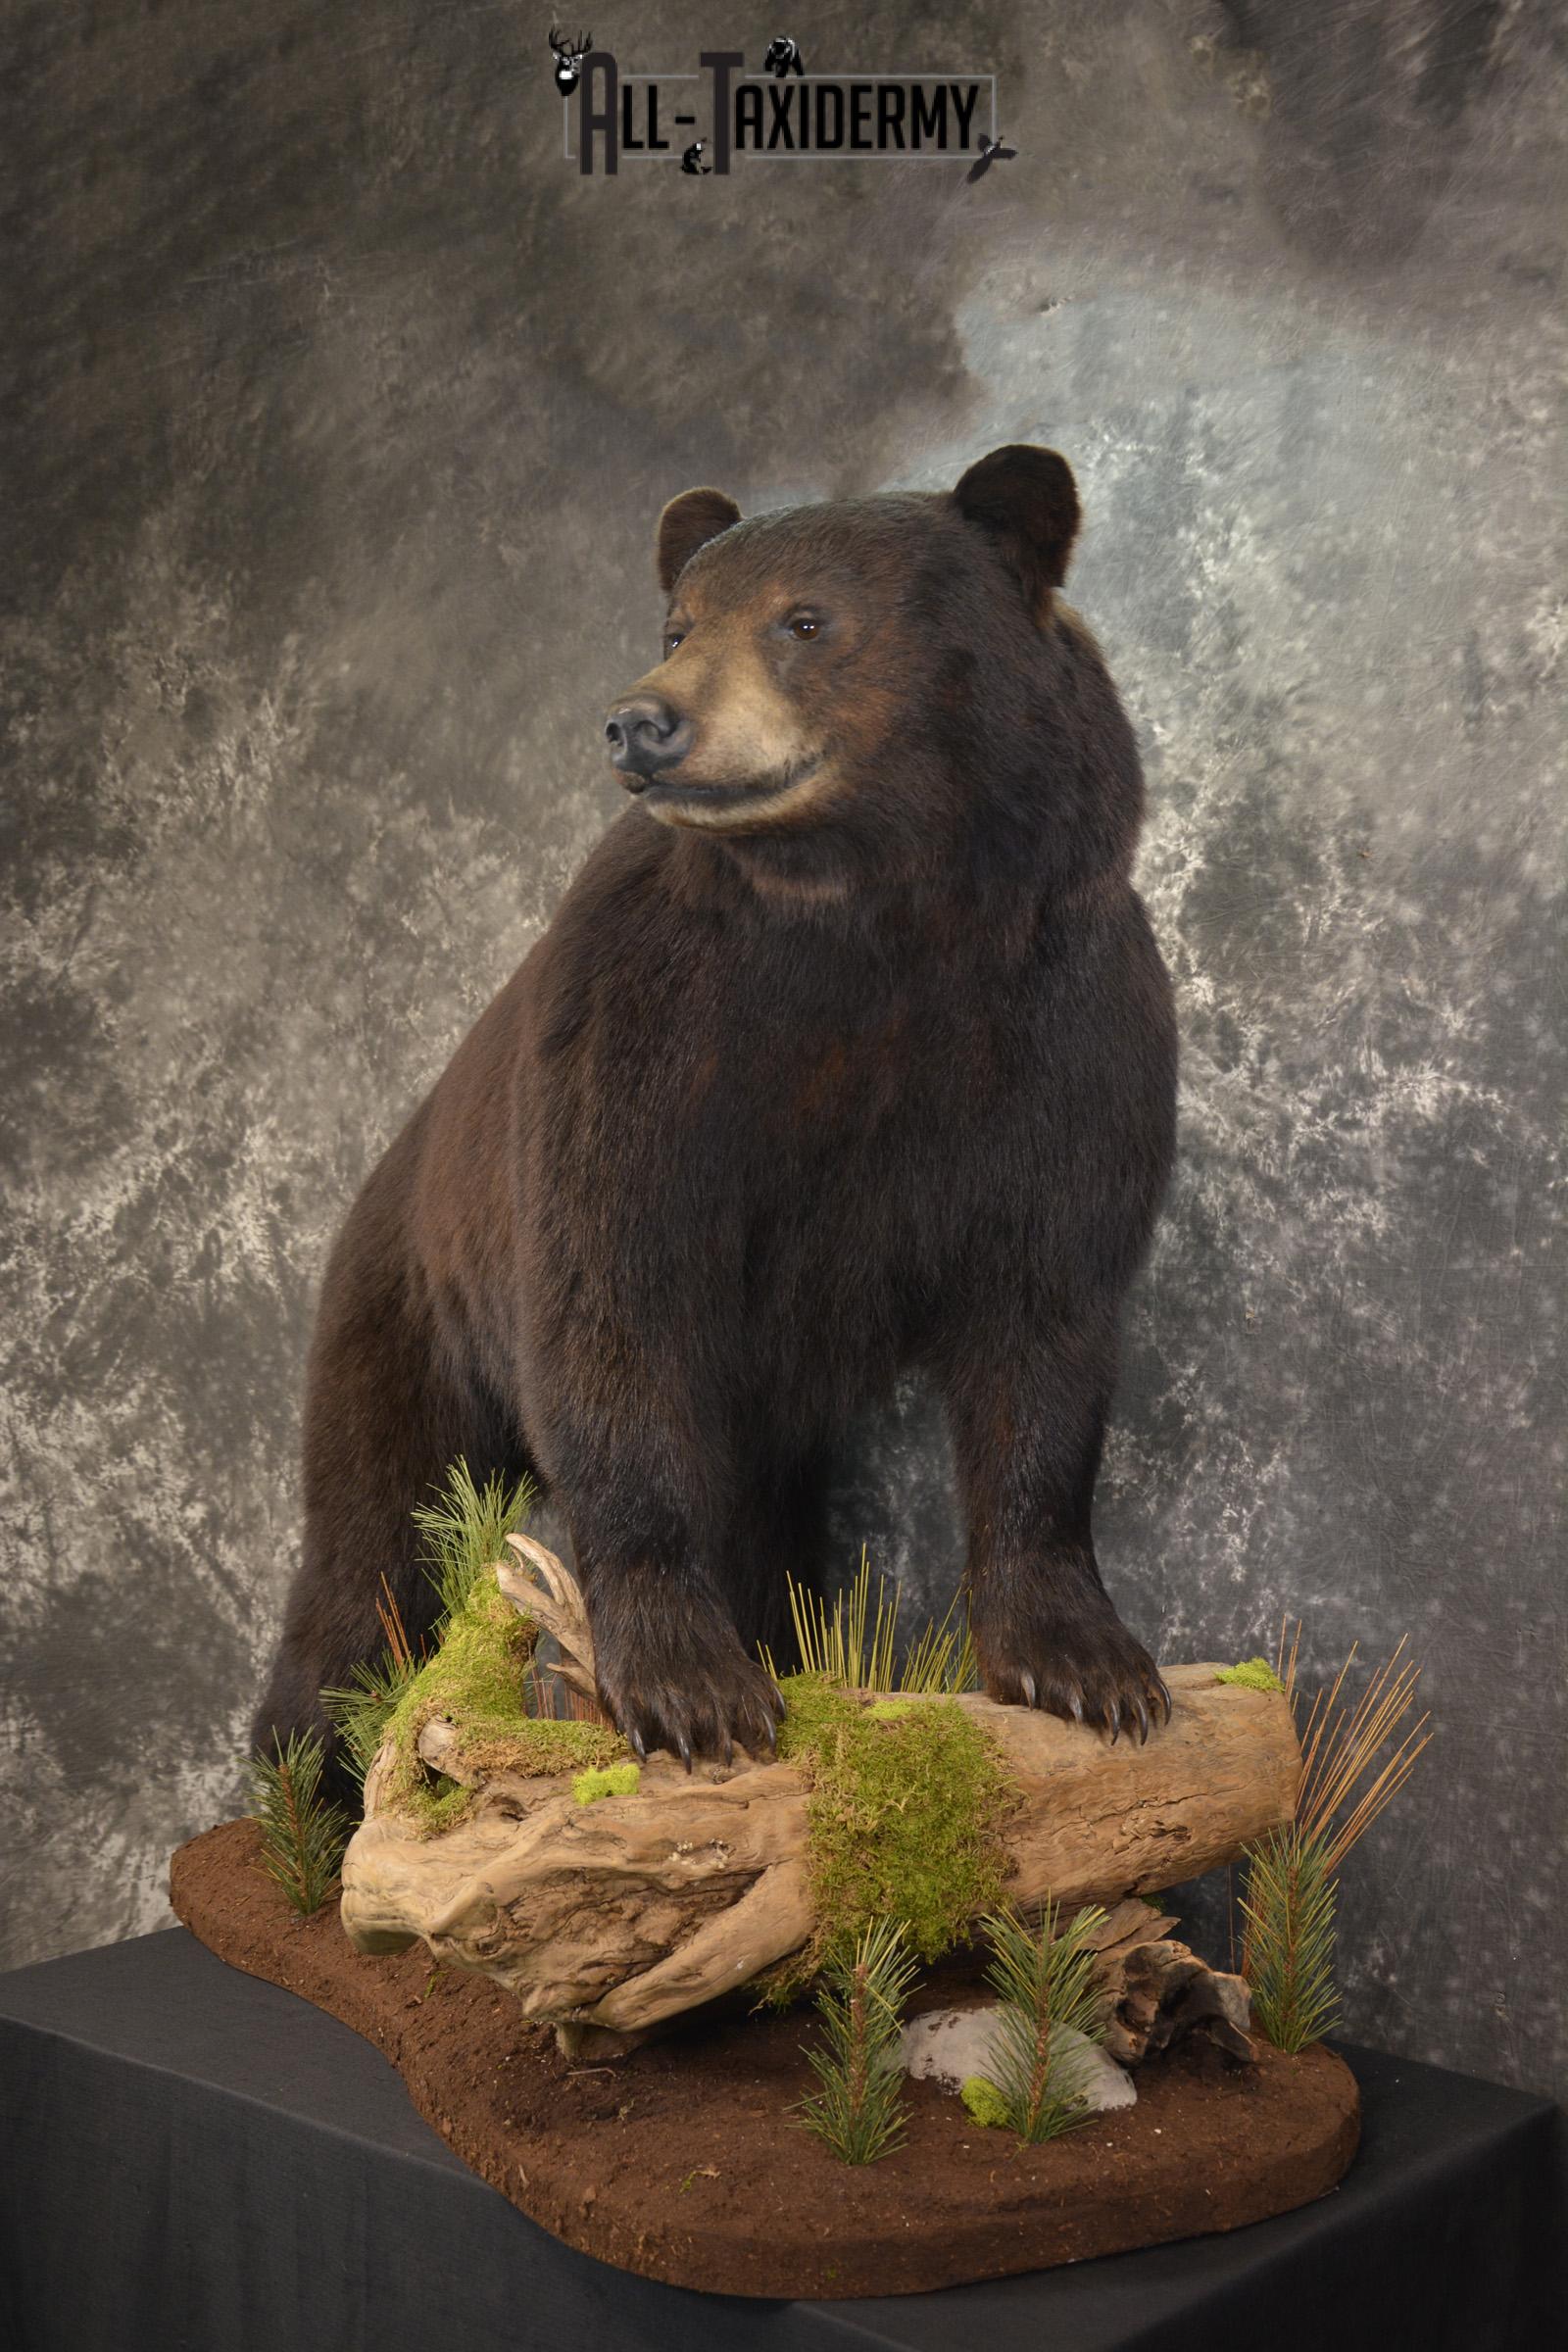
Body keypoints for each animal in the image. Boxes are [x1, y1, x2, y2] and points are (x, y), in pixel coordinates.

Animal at [252, 444, 1178, 1784]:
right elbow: (609, 1316)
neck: (872, 924)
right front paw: (693, 1690)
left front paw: (1088, 1668)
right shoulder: (643, 1044)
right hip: (412, 1310)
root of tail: (387, 1171)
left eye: (806, 619)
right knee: (377, 1530)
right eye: (679, 623)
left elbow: (1043, 1330)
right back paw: (306, 1774)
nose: (642, 720)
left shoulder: (1066, 1031)